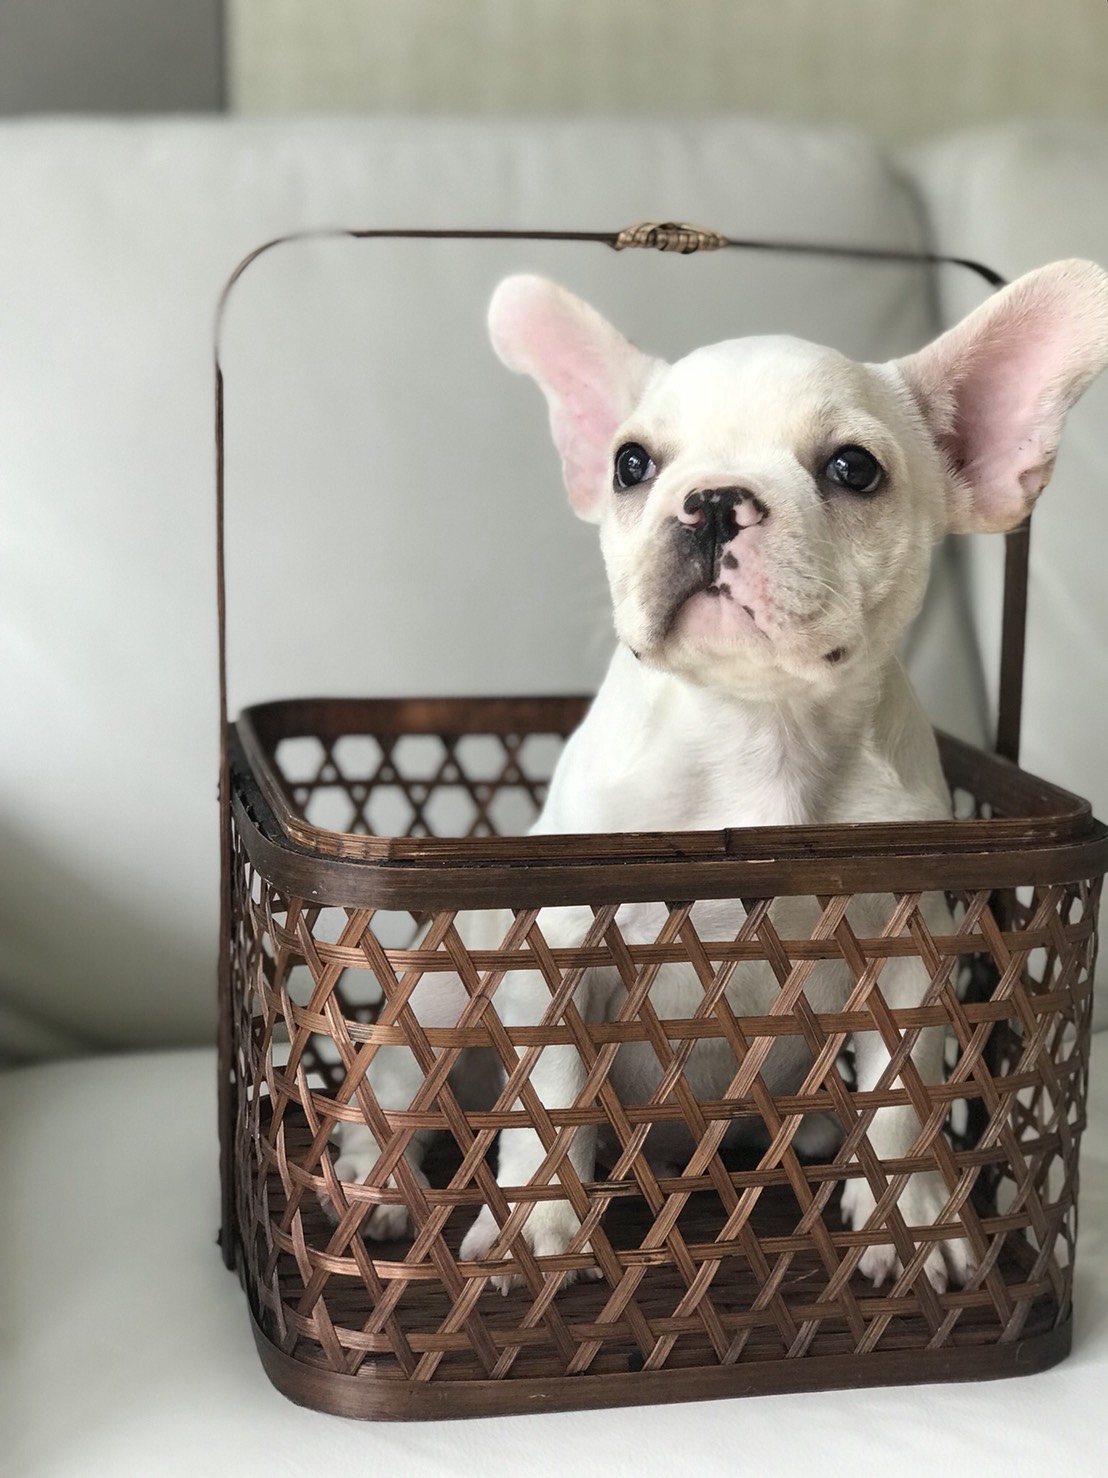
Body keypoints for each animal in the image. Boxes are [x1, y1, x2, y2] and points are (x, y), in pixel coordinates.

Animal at [328, 258, 1108, 1294]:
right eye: (630, 463)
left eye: (853, 468)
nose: (712, 499)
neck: (756, 731)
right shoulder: (560, 948)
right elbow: (550, 1102)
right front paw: (540, 1234)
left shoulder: (910, 957)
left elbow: (904, 1098)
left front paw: (914, 1223)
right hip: (440, 1003)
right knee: (397, 1101)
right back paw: (375, 1190)